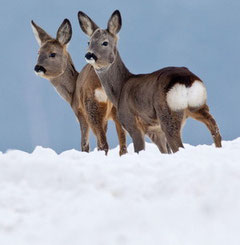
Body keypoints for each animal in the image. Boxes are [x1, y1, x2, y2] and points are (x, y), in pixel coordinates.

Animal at [31, 18, 127, 155]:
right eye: (38, 52)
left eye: (53, 54)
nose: (37, 67)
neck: (72, 92)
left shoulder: (80, 112)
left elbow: (84, 144)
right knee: (122, 145)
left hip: (91, 107)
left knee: (103, 144)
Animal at [78, 10, 222, 154]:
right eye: (88, 42)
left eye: (105, 42)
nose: (89, 55)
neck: (120, 89)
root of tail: (187, 81)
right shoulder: (154, 130)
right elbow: (164, 151)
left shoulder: (132, 122)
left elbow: (139, 149)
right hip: (198, 106)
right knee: (214, 129)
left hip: (168, 113)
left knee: (178, 145)